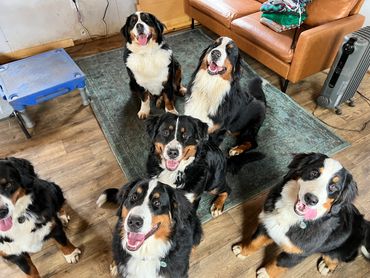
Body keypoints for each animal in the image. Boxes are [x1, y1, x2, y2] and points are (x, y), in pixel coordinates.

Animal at [233, 153, 368, 276]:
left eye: (333, 187)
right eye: (314, 173)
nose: (311, 199)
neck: (291, 213)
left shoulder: (299, 252)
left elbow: (280, 263)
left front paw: (266, 273)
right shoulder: (268, 223)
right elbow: (255, 241)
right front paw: (243, 250)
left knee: (337, 256)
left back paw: (327, 266)